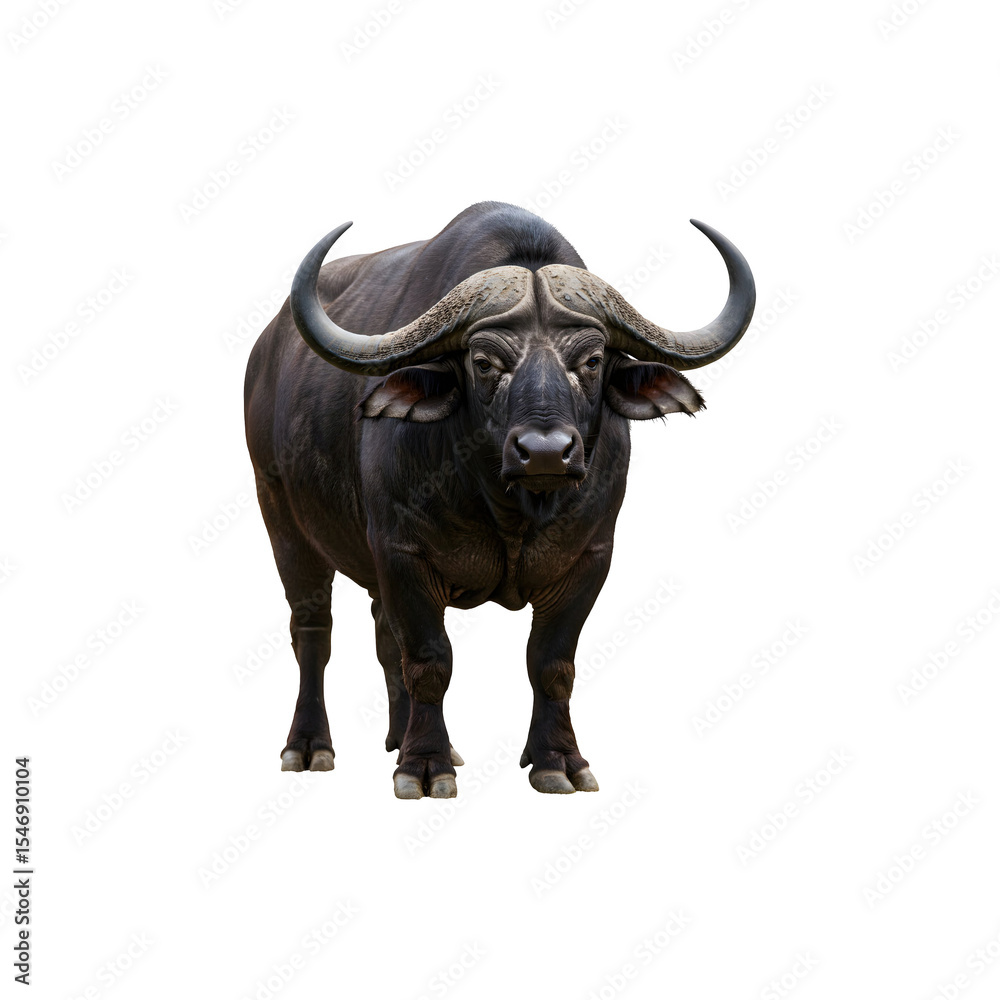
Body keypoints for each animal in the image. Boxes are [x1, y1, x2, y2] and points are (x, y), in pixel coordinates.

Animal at [244, 202, 755, 798]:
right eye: (484, 362)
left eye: (592, 359)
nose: (545, 452)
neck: (512, 509)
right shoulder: (402, 553)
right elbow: (429, 659)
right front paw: (425, 766)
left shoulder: (589, 558)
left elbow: (551, 662)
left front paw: (556, 760)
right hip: (281, 517)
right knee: (313, 633)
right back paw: (310, 745)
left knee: (381, 634)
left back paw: (398, 737)